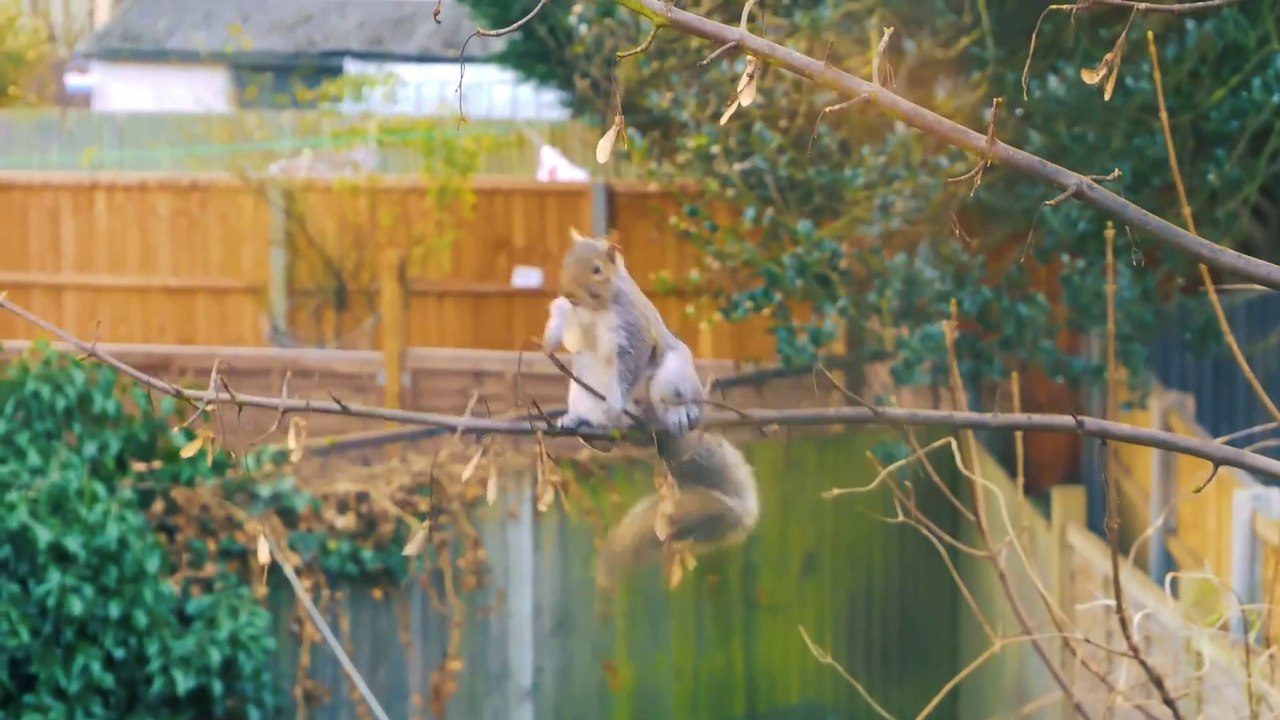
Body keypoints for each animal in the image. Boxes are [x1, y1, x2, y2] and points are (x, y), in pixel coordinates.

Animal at [541, 228, 760, 592]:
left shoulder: (634, 328)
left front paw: (617, 401)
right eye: (564, 262)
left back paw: (675, 415)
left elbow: (632, 360)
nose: (568, 294)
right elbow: (572, 339)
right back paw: (585, 424)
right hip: (582, 387)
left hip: (671, 377)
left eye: (598, 269)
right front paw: (556, 316)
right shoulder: (582, 330)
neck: (596, 308)